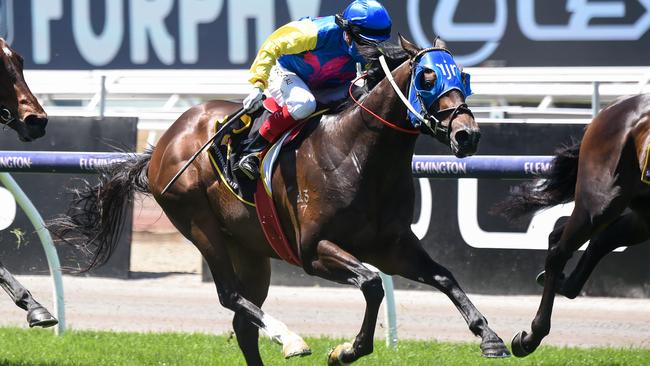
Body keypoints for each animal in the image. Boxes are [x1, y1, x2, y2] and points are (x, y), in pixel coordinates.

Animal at [53, 36, 508, 364]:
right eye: (428, 78)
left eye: (464, 76)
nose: (468, 135)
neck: (358, 154)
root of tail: (163, 142)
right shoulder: (313, 250)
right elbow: (372, 283)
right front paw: (347, 350)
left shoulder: (391, 245)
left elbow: (443, 277)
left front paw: (491, 337)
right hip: (198, 222)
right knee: (230, 296)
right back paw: (289, 338)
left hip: (250, 247)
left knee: (243, 321)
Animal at [496, 92, 648, 358]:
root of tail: (614, 106)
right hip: (601, 201)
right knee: (560, 251)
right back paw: (531, 337)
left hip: (643, 212)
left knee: (596, 240)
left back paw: (556, 282)